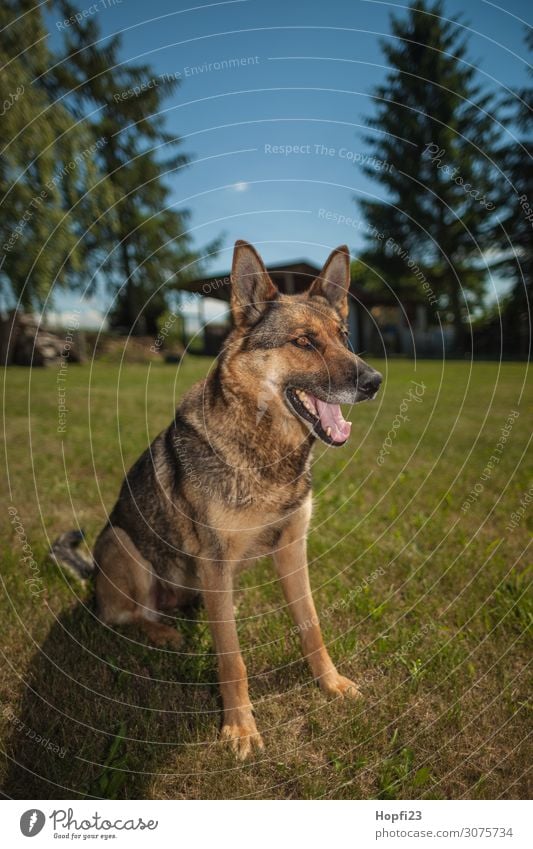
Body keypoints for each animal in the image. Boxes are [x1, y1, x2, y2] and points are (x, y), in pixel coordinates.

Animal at [52, 242, 380, 760]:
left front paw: (331, 684)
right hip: (123, 544)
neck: (267, 452)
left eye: (344, 337)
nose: (374, 381)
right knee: (124, 616)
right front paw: (240, 728)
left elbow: (311, 626)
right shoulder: (216, 559)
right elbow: (231, 656)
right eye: (304, 342)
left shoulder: (292, 547)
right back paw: (162, 630)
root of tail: (94, 582)